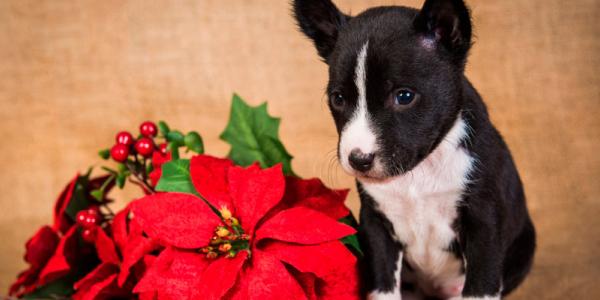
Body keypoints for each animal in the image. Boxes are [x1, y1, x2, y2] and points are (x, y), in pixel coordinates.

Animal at [292, 0, 536, 300]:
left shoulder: (484, 224)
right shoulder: (376, 225)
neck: (419, 175)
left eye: (404, 96)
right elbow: (383, 288)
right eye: (338, 99)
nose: (359, 159)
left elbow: (480, 287)